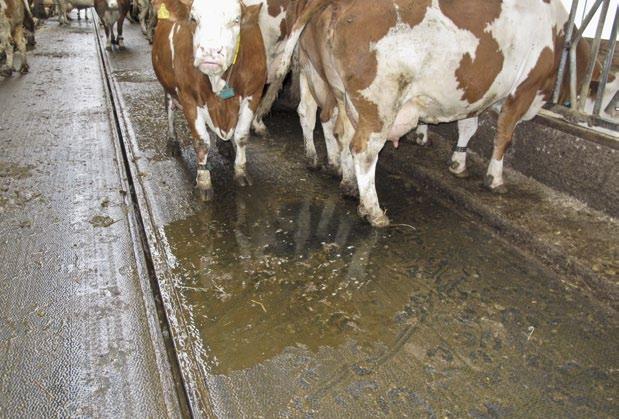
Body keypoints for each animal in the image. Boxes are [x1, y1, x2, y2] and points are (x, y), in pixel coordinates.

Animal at [262, 0, 612, 228]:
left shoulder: (472, 92)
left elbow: (468, 127)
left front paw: (458, 163)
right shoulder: (524, 89)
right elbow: (503, 136)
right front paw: (495, 179)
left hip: (340, 90)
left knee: (335, 129)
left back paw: (347, 183)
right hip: (378, 101)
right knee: (363, 149)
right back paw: (373, 211)